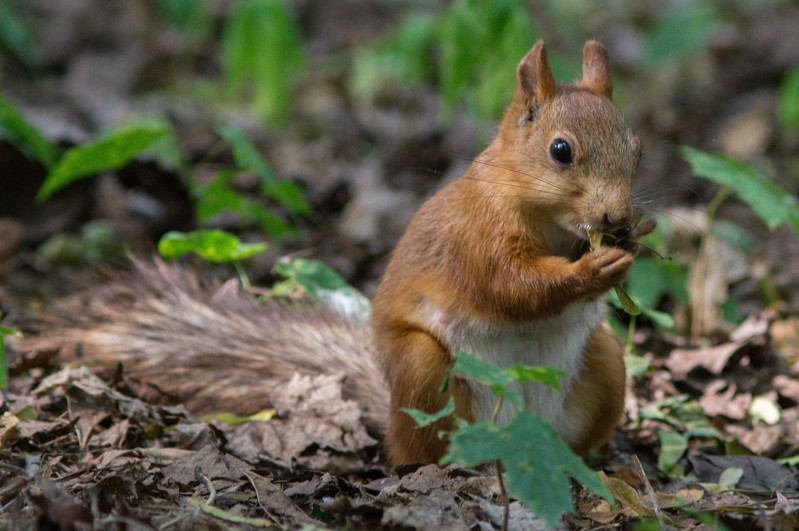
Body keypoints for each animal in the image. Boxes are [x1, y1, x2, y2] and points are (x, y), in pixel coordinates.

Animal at [12, 40, 652, 466]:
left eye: (636, 146)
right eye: (561, 150)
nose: (617, 220)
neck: (549, 224)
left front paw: (636, 243)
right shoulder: (474, 239)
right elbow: (511, 285)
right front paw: (595, 266)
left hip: (605, 363)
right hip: (423, 373)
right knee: (419, 450)